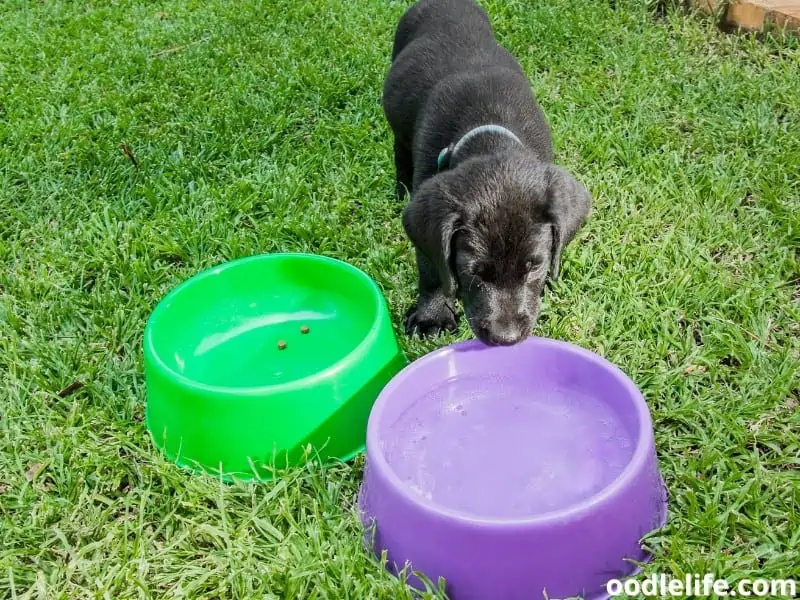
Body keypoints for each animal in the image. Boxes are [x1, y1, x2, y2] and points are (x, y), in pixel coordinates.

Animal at [384, 0, 592, 346]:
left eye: (533, 266)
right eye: (474, 271)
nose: (505, 338)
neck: (488, 130)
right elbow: (431, 269)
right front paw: (431, 316)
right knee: (400, 150)